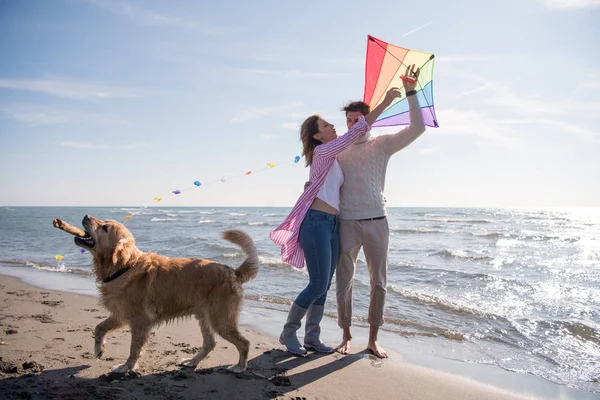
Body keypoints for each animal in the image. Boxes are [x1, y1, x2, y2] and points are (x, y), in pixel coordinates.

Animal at [55, 216, 260, 376]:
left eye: (105, 227)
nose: (86, 216)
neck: (124, 267)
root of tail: (233, 271)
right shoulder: (121, 314)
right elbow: (99, 328)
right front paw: (99, 350)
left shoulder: (139, 321)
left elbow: (134, 349)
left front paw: (126, 367)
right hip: (204, 318)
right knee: (210, 344)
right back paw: (192, 362)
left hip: (221, 320)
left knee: (244, 343)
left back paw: (239, 367)